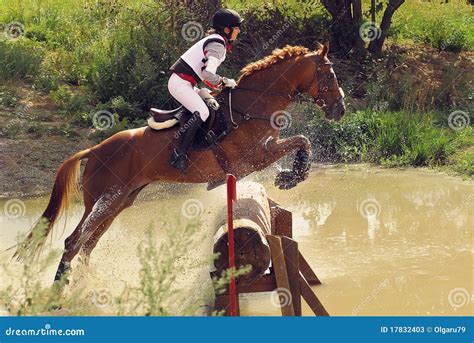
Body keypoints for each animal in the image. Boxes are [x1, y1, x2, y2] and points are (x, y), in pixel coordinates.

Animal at [12, 43, 344, 284]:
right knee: (73, 242)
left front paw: (291, 174)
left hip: (120, 201)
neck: (256, 103)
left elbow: (302, 141)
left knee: (88, 245)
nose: (340, 109)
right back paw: (59, 291)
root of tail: (93, 150)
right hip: (106, 200)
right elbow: (302, 139)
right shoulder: (256, 156)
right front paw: (291, 176)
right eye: (329, 74)